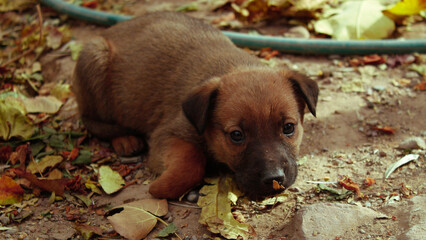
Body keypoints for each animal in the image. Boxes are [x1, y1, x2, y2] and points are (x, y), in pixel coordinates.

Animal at [73, 11, 318, 199]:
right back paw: (125, 139)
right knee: (93, 121)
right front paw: (161, 188)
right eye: (236, 135)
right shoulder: (167, 134)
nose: (274, 178)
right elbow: (191, 164)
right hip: (95, 61)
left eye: (288, 128)